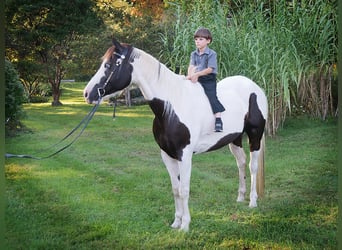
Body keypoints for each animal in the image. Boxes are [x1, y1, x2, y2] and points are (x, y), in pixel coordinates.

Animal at [83, 39, 268, 232]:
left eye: (109, 65)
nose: (87, 93)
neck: (171, 106)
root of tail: (255, 88)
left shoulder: (184, 155)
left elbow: (184, 189)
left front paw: (185, 225)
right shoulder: (167, 155)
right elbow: (175, 189)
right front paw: (176, 222)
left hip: (255, 136)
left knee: (253, 167)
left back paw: (252, 202)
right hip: (235, 138)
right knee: (241, 163)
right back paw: (240, 197)